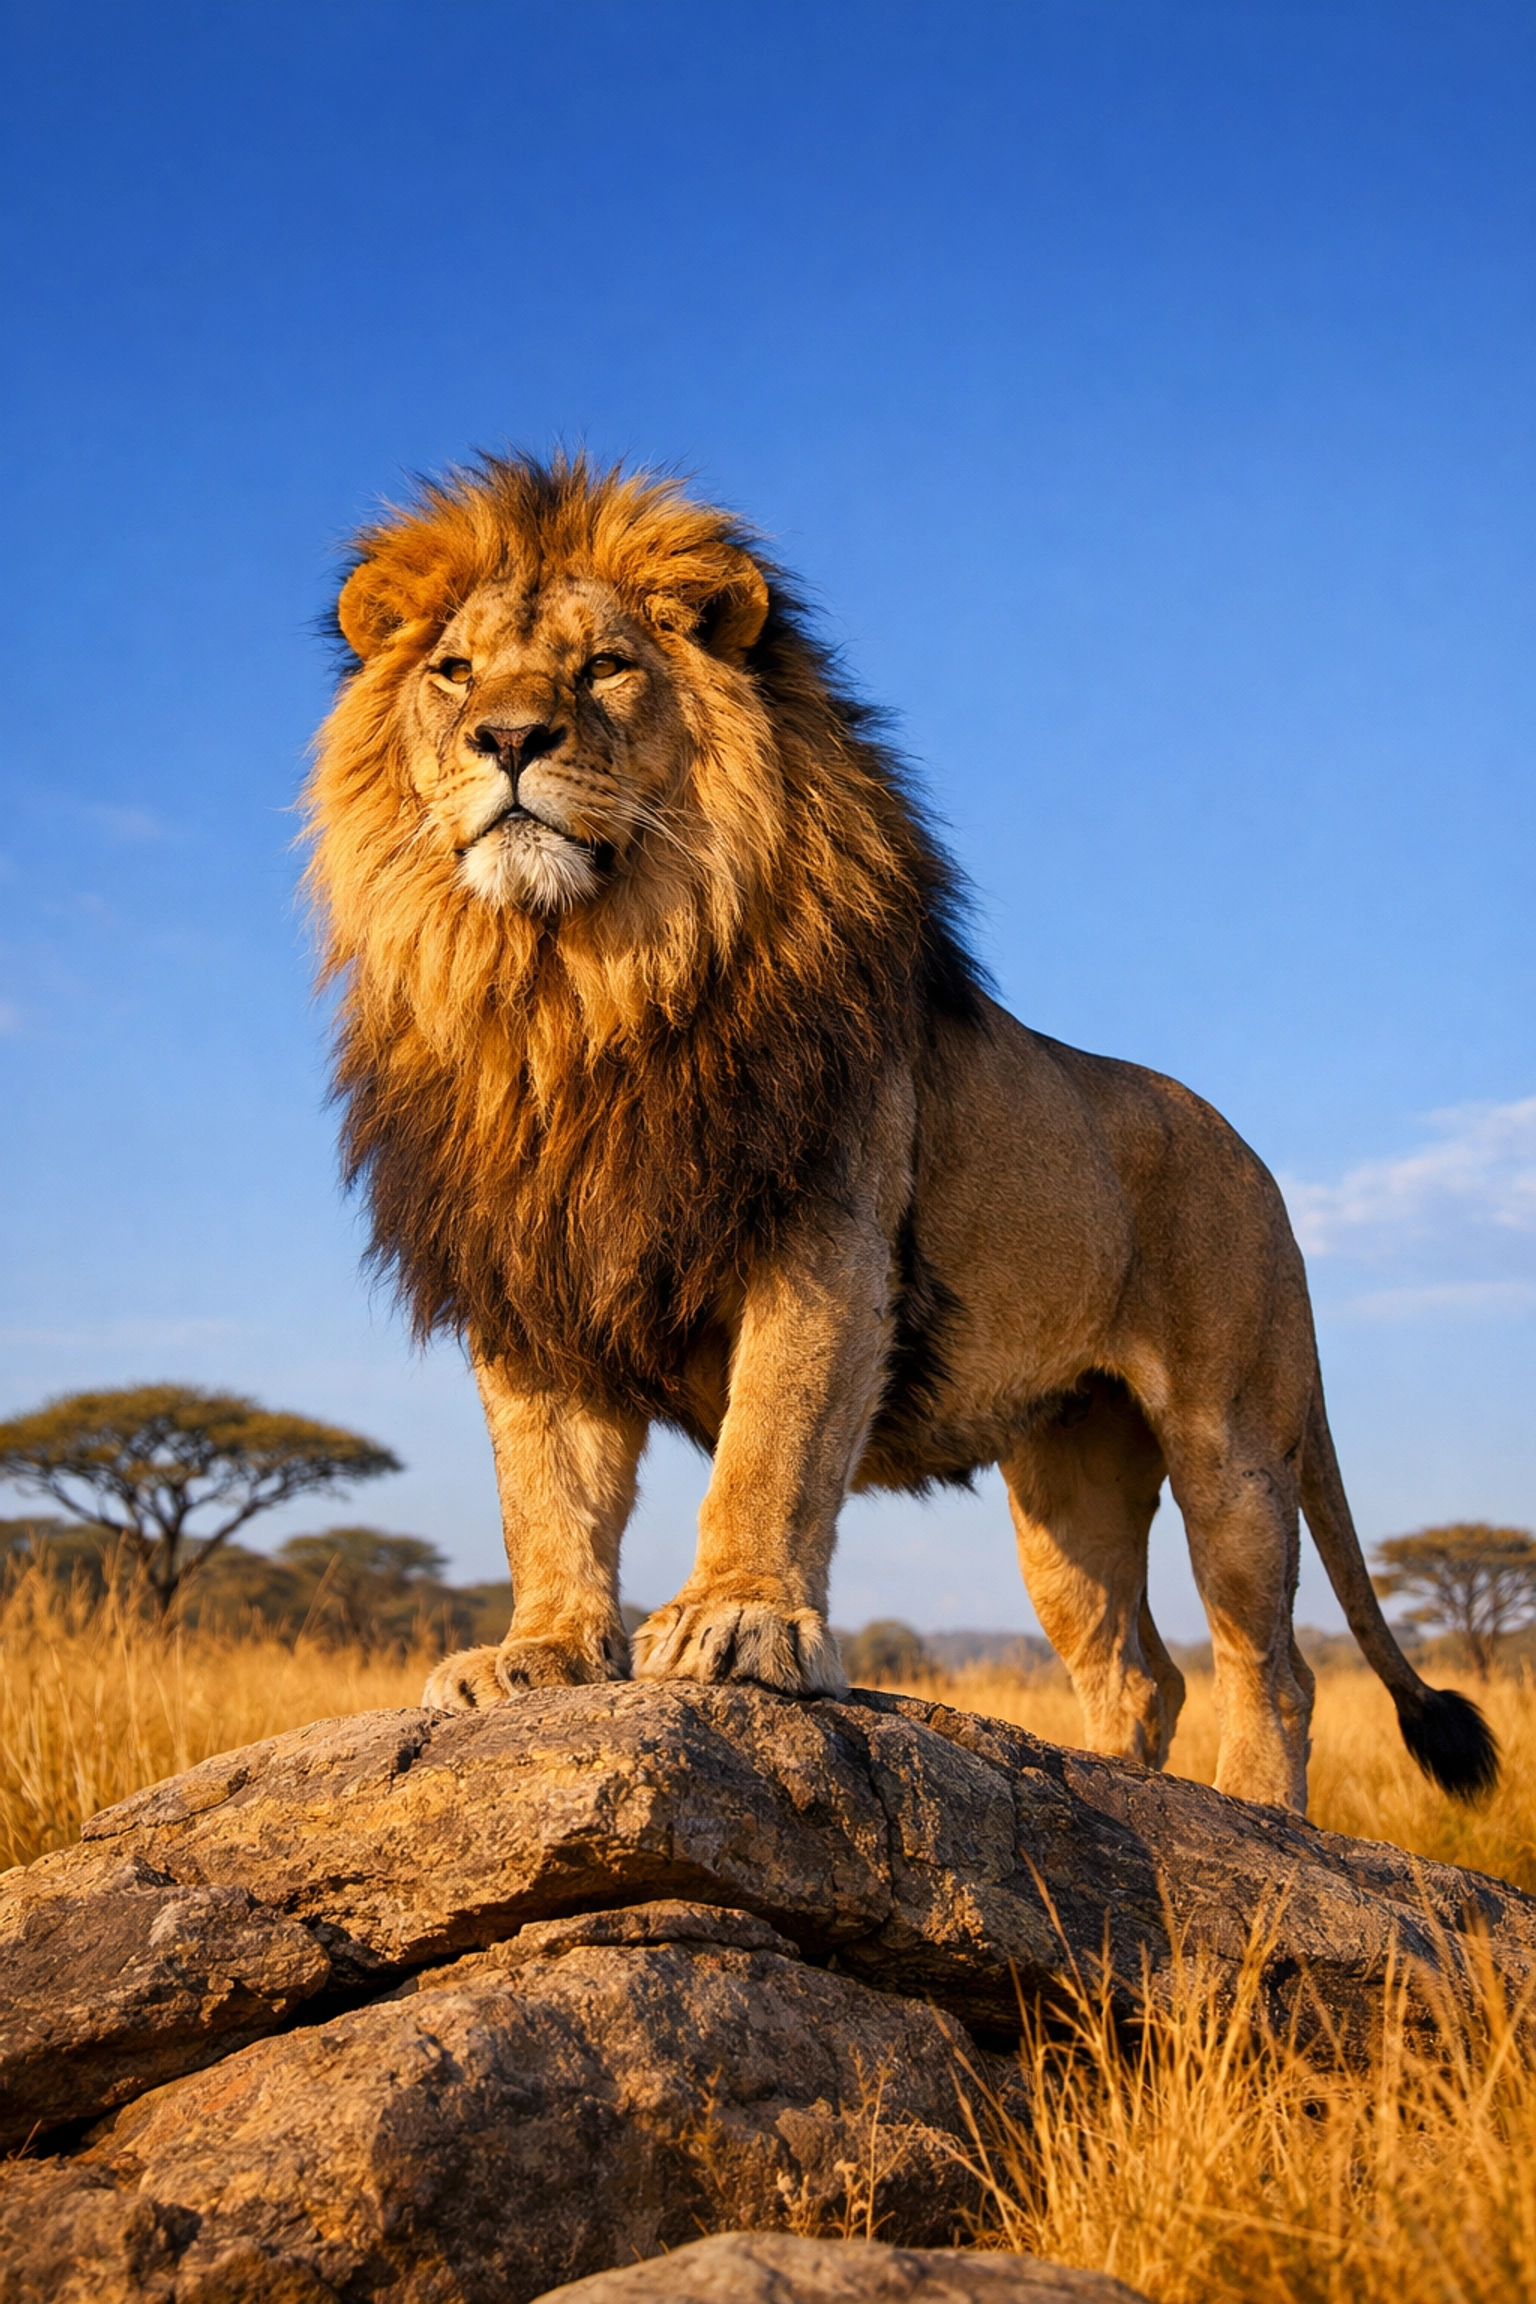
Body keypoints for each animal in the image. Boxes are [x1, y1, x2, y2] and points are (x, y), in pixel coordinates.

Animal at [305, 451, 1496, 1813]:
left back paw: (1252, 1820)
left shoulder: (826, 1238)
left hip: (1234, 1436)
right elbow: (543, 1493)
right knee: (1139, 1672)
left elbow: (770, 1446)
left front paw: (735, 1624)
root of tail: (1254, 1156)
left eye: (604, 667)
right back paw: (1100, 1798)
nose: (507, 738)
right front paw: (540, 1653)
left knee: (1271, 1668)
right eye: (455, 672)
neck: (573, 992)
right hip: (1069, 1483)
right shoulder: (531, 1281)